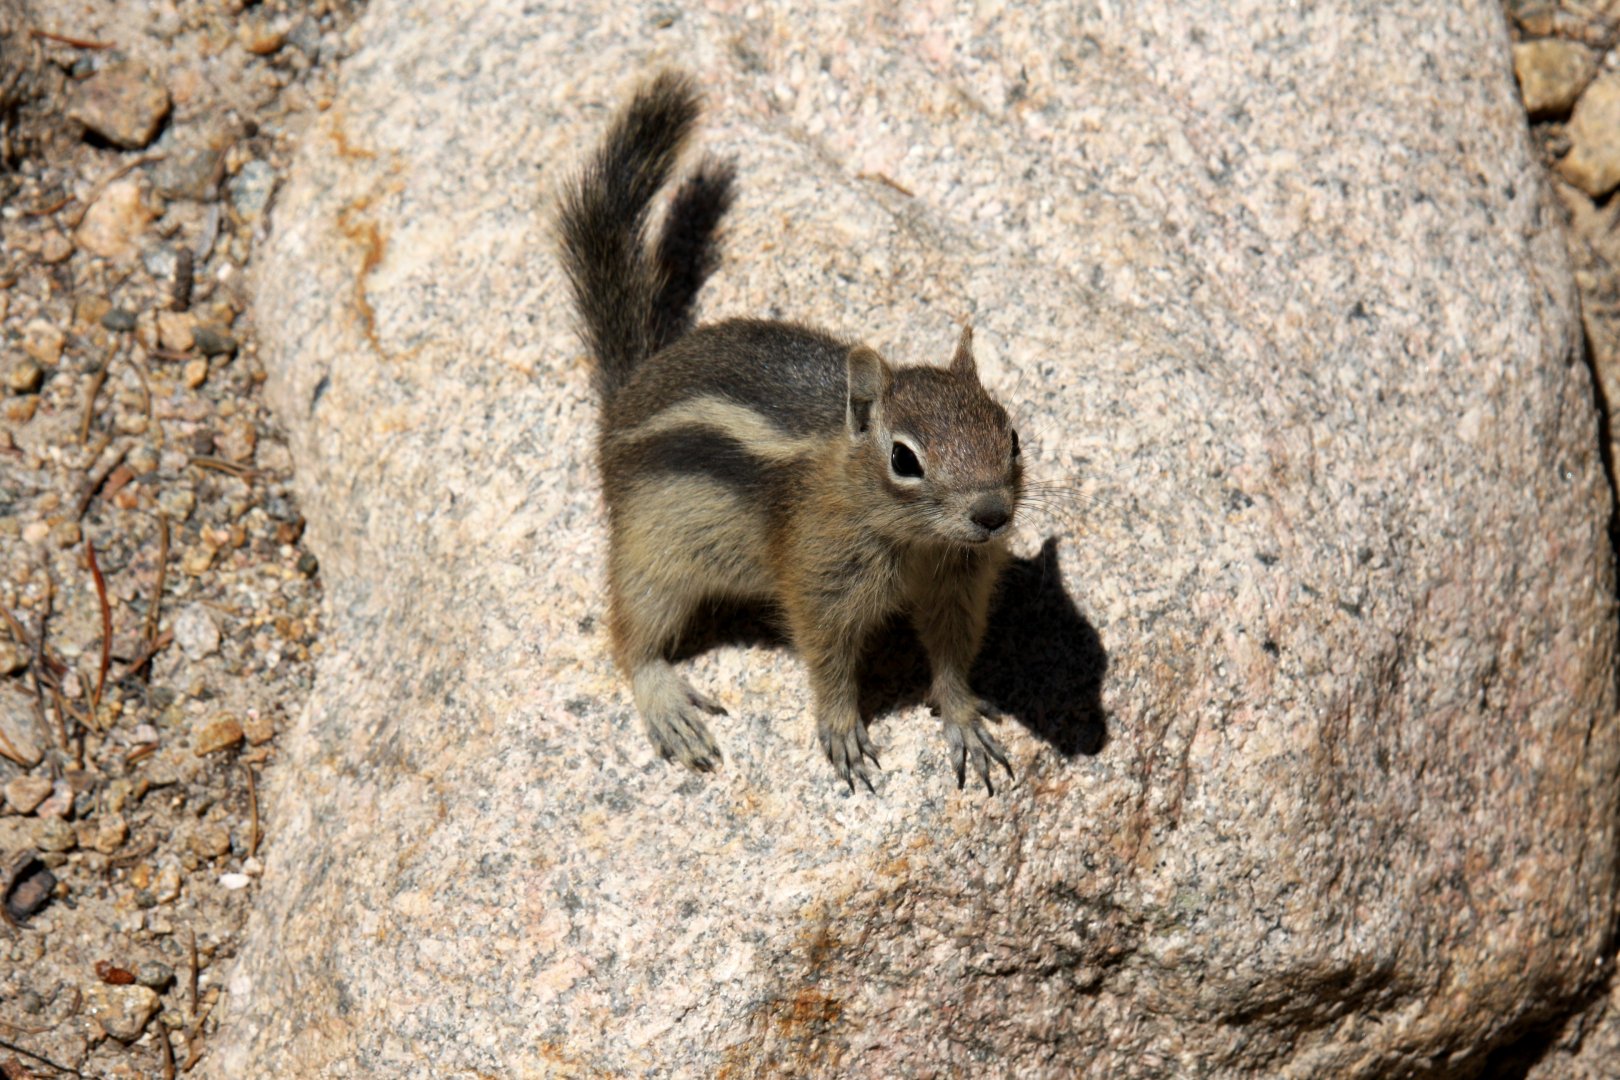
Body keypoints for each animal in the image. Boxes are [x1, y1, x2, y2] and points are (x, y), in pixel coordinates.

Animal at [556, 72, 1024, 792]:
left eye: (1012, 436)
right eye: (905, 459)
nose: (993, 514)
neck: (914, 541)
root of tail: (627, 393)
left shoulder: (957, 583)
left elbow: (950, 655)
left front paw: (964, 718)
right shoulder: (820, 578)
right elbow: (825, 655)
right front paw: (842, 731)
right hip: (650, 547)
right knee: (631, 631)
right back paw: (667, 703)